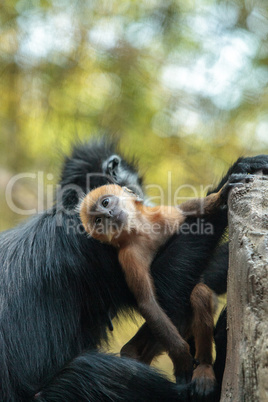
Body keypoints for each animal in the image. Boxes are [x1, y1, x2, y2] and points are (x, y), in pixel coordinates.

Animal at [79, 181, 232, 384]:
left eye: (105, 203)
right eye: (98, 221)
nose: (109, 214)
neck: (142, 232)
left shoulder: (164, 216)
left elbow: (190, 210)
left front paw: (219, 196)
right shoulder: (130, 257)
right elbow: (148, 303)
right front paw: (181, 356)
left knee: (201, 294)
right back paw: (203, 367)